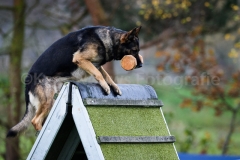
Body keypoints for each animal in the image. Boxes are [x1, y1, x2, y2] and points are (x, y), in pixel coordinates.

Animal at [6, 25, 142, 137]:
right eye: (135, 50)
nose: (140, 65)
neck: (106, 40)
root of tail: (27, 83)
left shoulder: (96, 64)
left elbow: (106, 74)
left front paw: (114, 86)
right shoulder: (80, 59)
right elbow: (99, 74)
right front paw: (105, 86)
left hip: (53, 101)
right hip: (47, 101)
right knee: (35, 120)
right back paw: (41, 134)